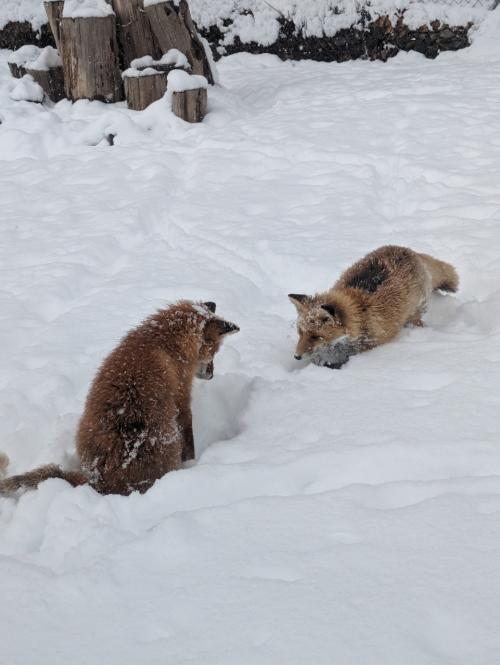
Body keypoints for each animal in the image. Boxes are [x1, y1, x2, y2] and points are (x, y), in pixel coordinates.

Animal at [0, 300, 239, 492]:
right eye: (214, 352)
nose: (211, 375)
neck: (162, 342)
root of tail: (100, 480)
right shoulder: (181, 398)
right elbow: (189, 436)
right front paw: (191, 461)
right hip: (169, 438)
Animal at [290, 244, 458, 368]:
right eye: (300, 332)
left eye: (316, 336)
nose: (296, 357)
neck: (360, 316)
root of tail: (407, 249)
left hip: (415, 313)